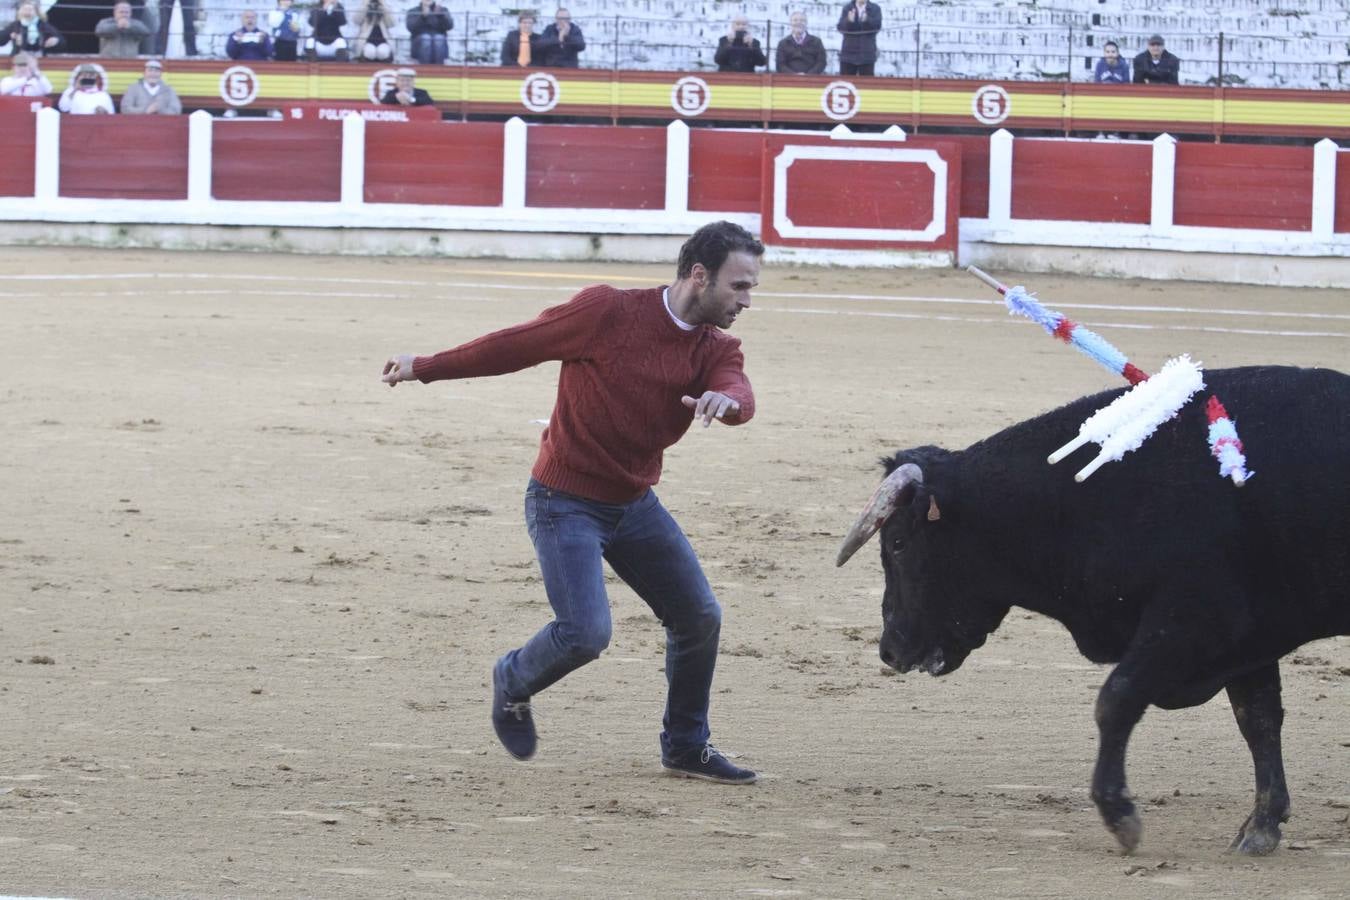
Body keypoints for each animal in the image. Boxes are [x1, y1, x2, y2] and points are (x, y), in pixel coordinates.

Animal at [837, 364, 1344, 852]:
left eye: (898, 543)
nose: (889, 651)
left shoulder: (1196, 621)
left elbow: (1116, 699)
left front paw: (1120, 816)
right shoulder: (1249, 638)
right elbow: (1258, 720)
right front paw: (1261, 826)